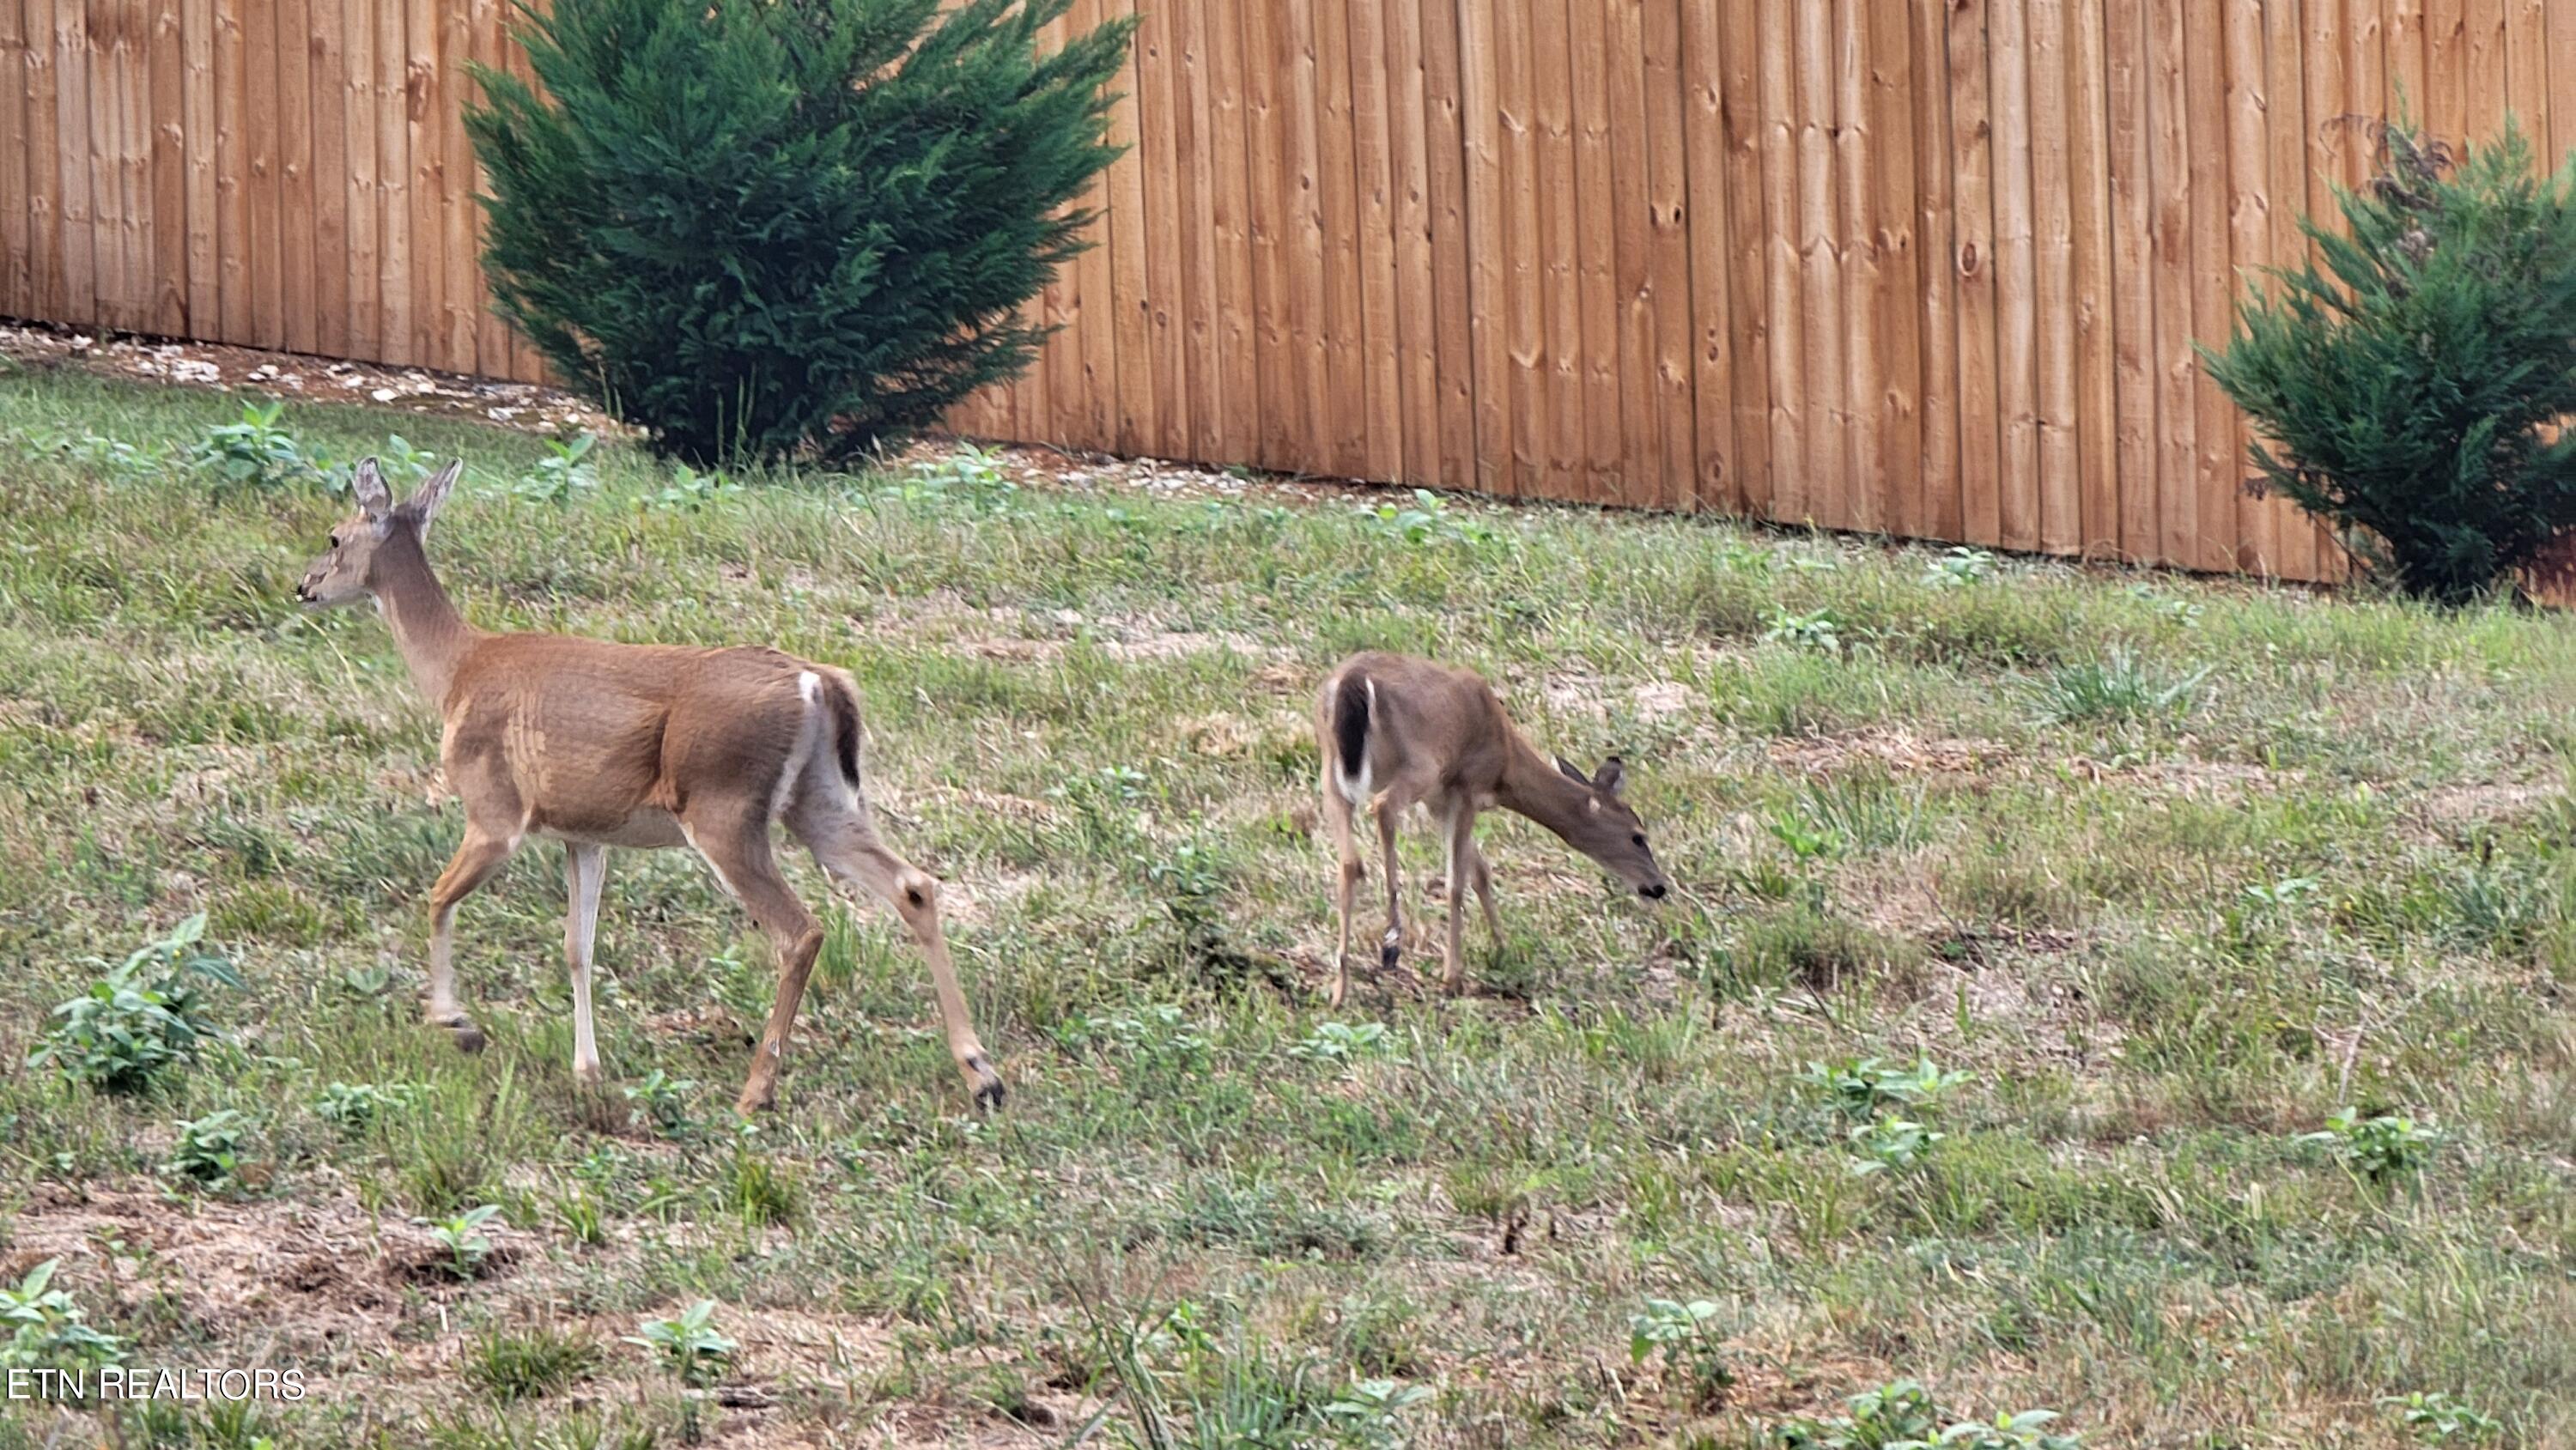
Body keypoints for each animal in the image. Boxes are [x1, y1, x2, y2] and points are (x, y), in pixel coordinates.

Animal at [295, 457, 1002, 1115]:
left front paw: (454, 1022)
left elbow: (438, 897)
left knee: (800, 929)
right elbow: (577, 945)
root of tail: (818, 680)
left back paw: (758, 1090)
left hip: (723, 805)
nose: (302, 585)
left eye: (334, 536)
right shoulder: (583, 833)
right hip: (817, 800)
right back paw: (981, 1074)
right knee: (912, 885)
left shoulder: (495, 810)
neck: (457, 672)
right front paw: (587, 1068)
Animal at [1314, 651, 1670, 1007]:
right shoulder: (1465, 788)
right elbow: (1456, 883)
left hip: (1331, 767)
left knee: (1349, 861)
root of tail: (1353, 682)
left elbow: (1480, 872)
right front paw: (1452, 978)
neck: (1506, 762)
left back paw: (1340, 989)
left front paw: (1503, 949)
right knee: (1382, 807)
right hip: (1420, 764)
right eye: (1638, 837)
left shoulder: (1439, 802)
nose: (1658, 886)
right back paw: (1391, 943)